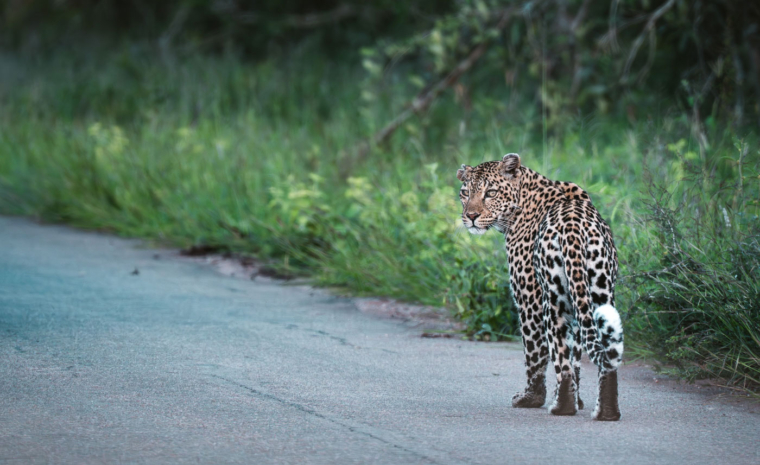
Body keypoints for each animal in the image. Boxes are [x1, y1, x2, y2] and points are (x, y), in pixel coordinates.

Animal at [456, 153, 623, 421]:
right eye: (465, 192)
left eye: (490, 192)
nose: (470, 216)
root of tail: (573, 229)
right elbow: (577, 357)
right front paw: (579, 400)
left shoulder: (528, 300)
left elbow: (534, 354)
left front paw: (531, 398)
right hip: (600, 293)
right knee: (605, 355)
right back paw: (605, 411)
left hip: (552, 302)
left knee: (558, 358)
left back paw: (561, 407)